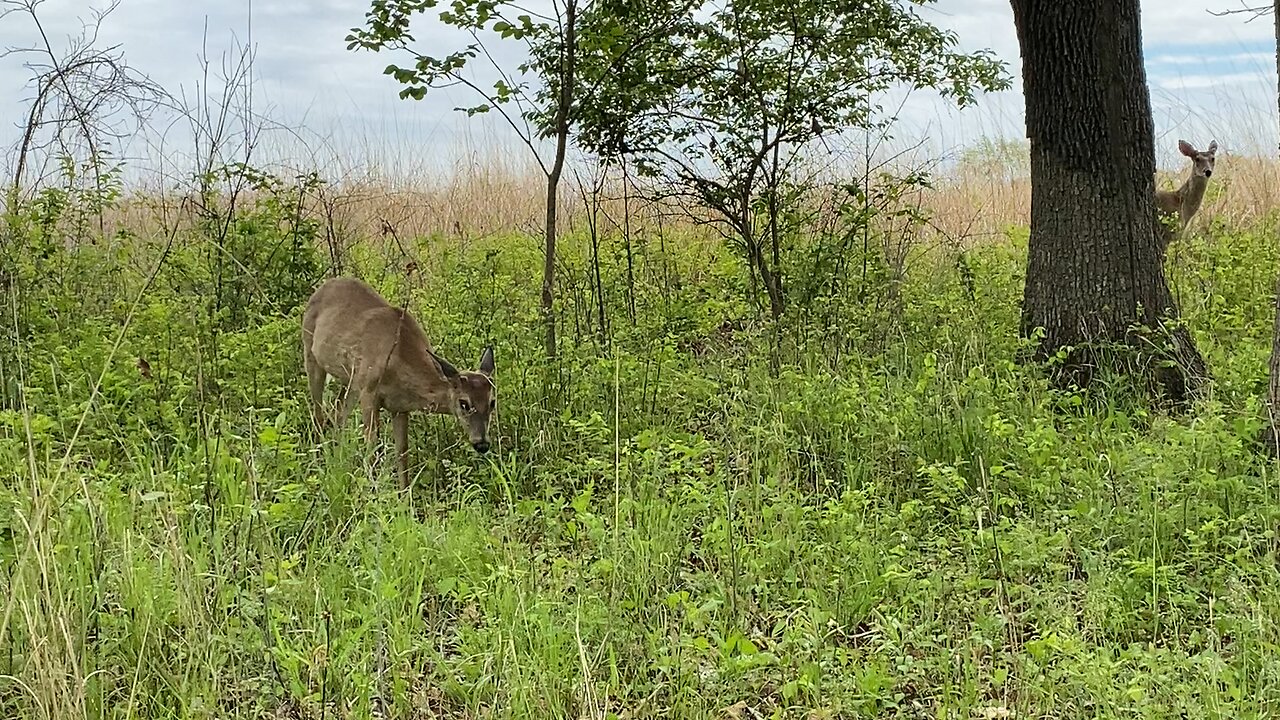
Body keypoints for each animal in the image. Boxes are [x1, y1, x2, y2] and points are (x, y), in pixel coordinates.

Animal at [302, 274, 496, 486]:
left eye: (492, 402)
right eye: (464, 403)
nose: (482, 444)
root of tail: (321, 288)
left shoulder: (400, 407)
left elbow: (402, 456)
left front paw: (403, 494)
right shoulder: (369, 392)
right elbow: (373, 451)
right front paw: (373, 490)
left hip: (351, 381)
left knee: (337, 415)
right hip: (311, 355)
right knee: (318, 416)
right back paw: (318, 467)